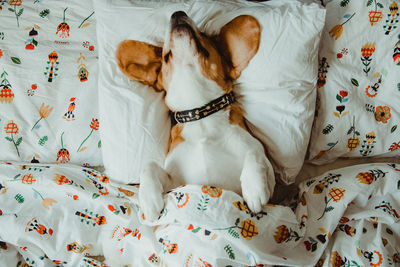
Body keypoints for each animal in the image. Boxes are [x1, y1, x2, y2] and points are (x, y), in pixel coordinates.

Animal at [115, 11, 276, 222]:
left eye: (204, 37)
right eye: (166, 55)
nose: (178, 13)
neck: (201, 114)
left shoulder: (272, 182)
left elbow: (256, 151)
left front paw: (254, 188)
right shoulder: (176, 183)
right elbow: (148, 166)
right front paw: (149, 201)